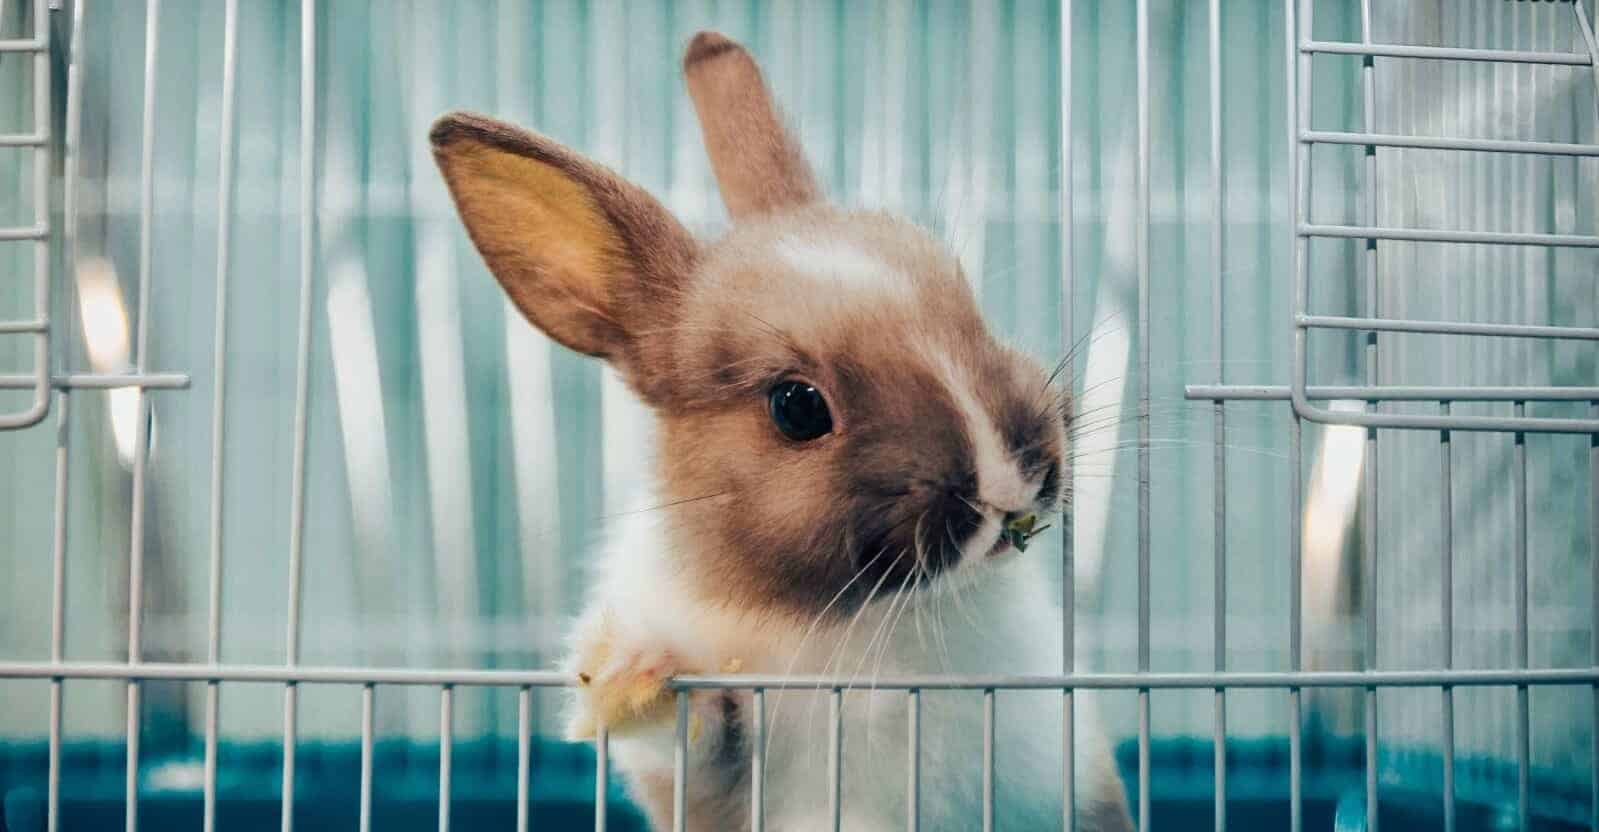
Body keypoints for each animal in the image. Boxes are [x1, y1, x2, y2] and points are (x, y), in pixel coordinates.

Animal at [430, 30, 1133, 832]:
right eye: (796, 407)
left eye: (969, 306)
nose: (1009, 478)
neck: (853, 619)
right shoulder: (711, 777)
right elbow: (694, 736)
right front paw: (630, 672)